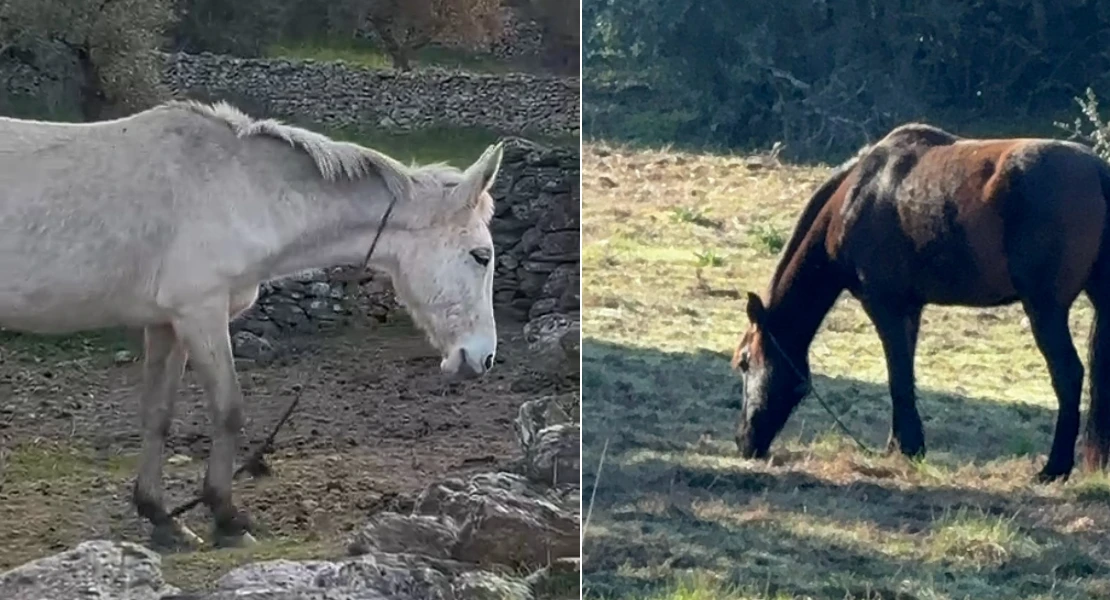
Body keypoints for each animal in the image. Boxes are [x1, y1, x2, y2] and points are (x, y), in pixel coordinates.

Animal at [0, 100, 504, 547]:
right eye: (481, 255)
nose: (483, 357)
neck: (236, 189)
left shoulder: (167, 324)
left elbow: (157, 415)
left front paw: (161, 518)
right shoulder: (200, 313)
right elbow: (229, 410)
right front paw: (226, 517)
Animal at [731, 122, 1110, 483]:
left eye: (745, 361)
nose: (744, 442)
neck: (857, 195)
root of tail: (1097, 170)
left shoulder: (886, 306)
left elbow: (897, 376)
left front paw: (907, 447)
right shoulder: (910, 309)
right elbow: (906, 375)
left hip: (1045, 309)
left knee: (1068, 375)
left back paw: (1054, 468)